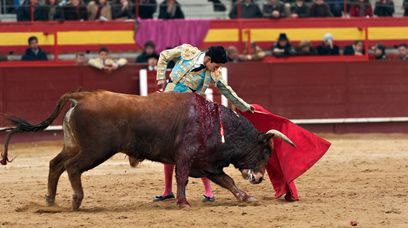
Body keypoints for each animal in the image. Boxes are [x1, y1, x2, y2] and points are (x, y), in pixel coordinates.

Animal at [0, 91, 294, 210]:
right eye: (266, 152)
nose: (260, 178)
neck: (214, 122)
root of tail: (81, 96)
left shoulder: (206, 164)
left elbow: (227, 181)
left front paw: (246, 197)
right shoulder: (186, 157)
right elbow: (182, 177)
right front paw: (183, 203)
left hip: (74, 145)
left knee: (55, 164)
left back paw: (50, 200)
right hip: (96, 150)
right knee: (71, 168)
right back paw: (76, 200)